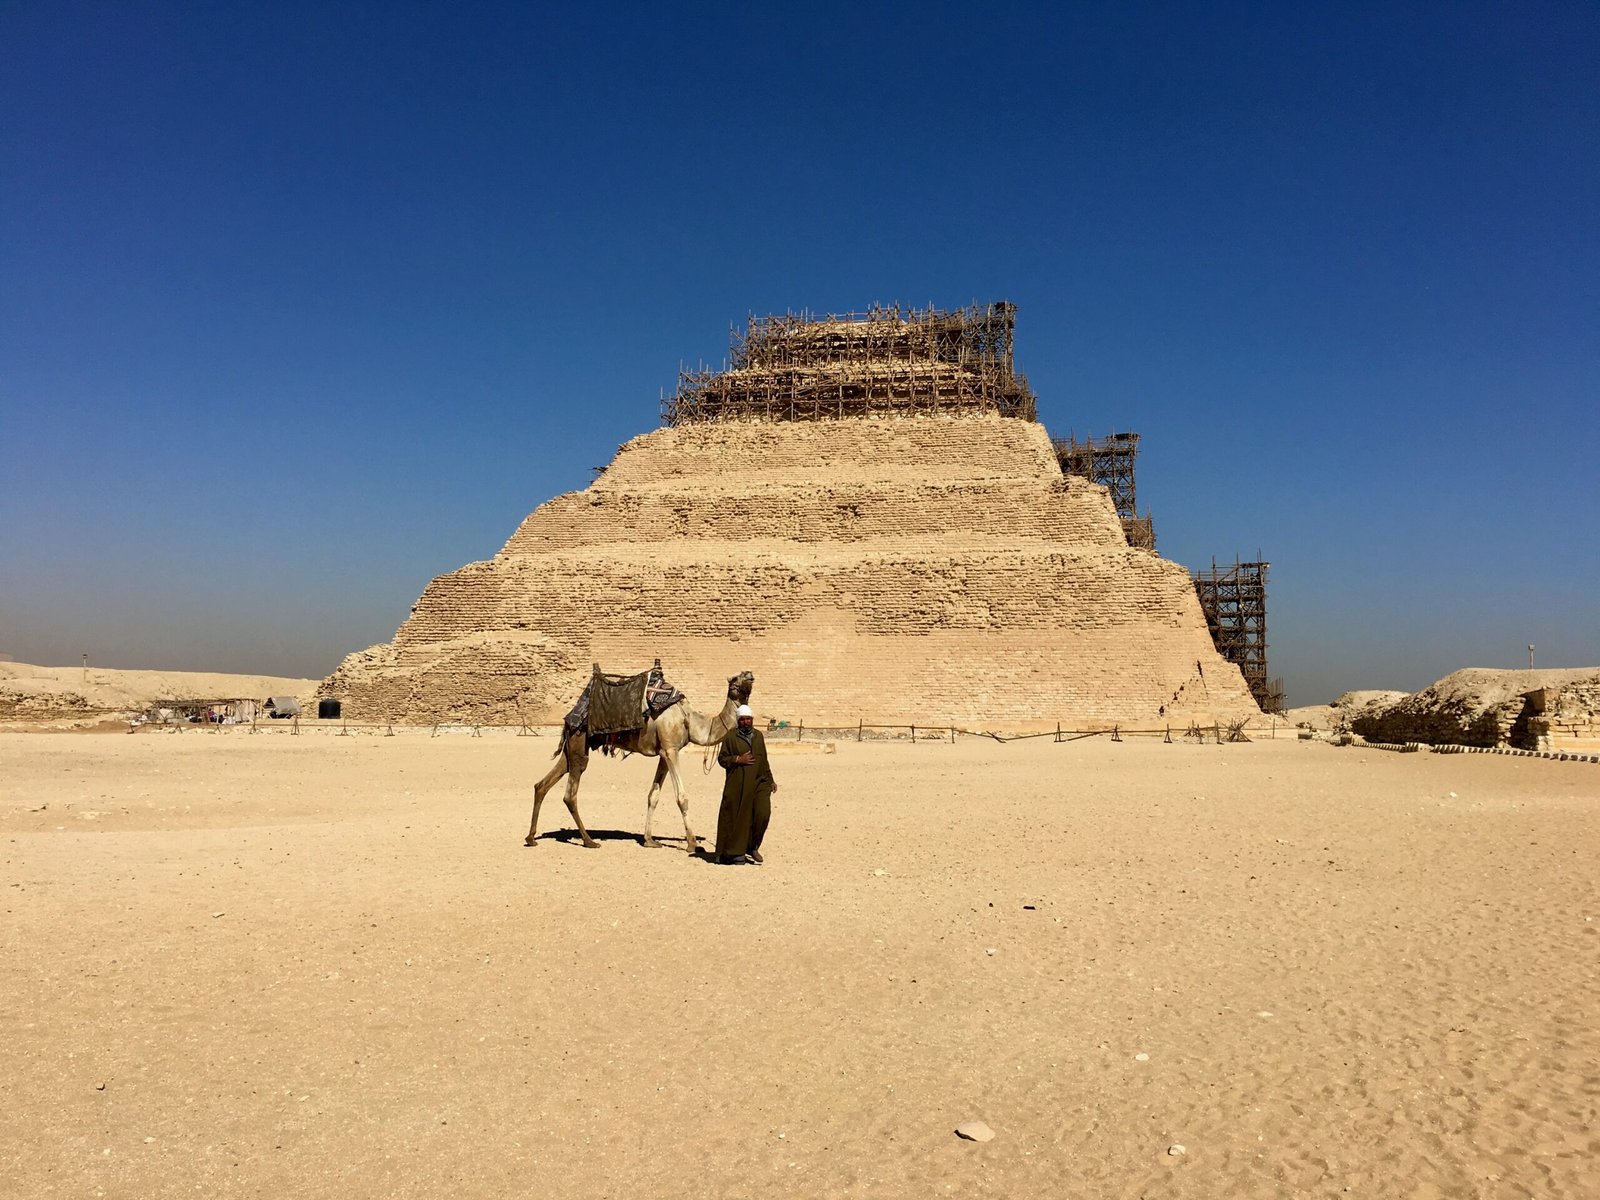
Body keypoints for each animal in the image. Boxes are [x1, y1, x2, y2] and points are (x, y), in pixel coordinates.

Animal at [521, 668, 752, 857]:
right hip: (579, 743)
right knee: (570, 793)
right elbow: (681, 797)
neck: (690, 720)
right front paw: (693, 844)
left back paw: (531, 838)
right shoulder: (671, 749)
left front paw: (649, 840)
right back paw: (589, 841)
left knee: (542, 784)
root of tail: (570, 716)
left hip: (571, 748)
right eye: (735, 678)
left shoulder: (664, 753)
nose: (749, 674)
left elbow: (653, 796)